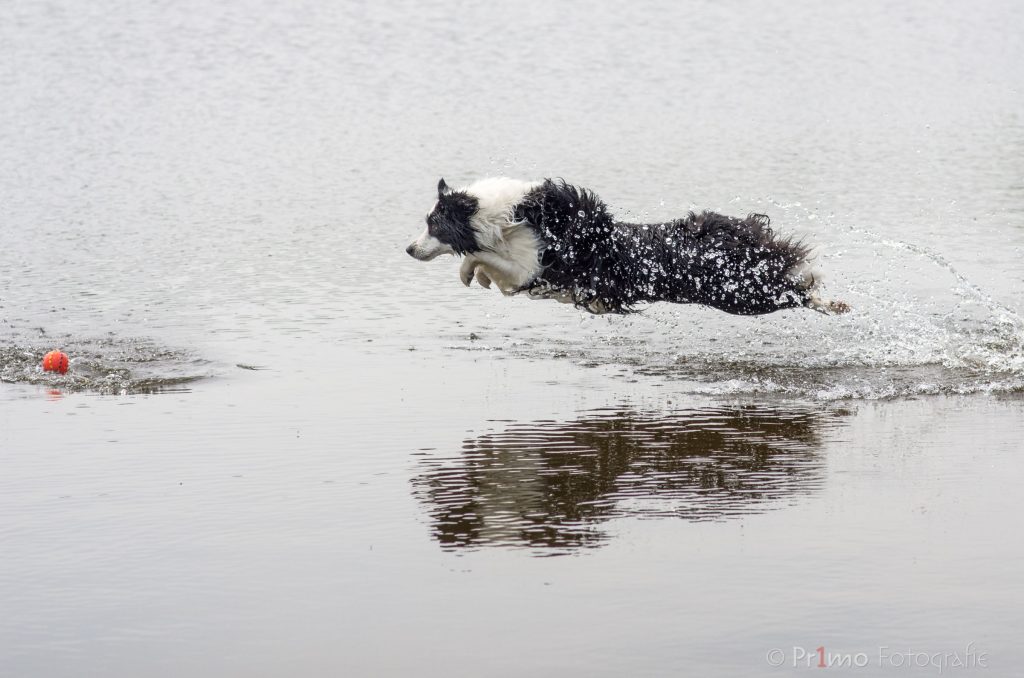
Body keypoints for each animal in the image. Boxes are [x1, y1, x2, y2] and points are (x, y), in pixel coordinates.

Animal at [405, 176, 847, 317]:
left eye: (433, 224)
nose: (408, 249)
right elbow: (487, 265)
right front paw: (476, 277)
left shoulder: (536, 267)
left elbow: (483, 256)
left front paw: (471, 272)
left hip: (743, 295)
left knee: (796, 288)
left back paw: (832, 302)